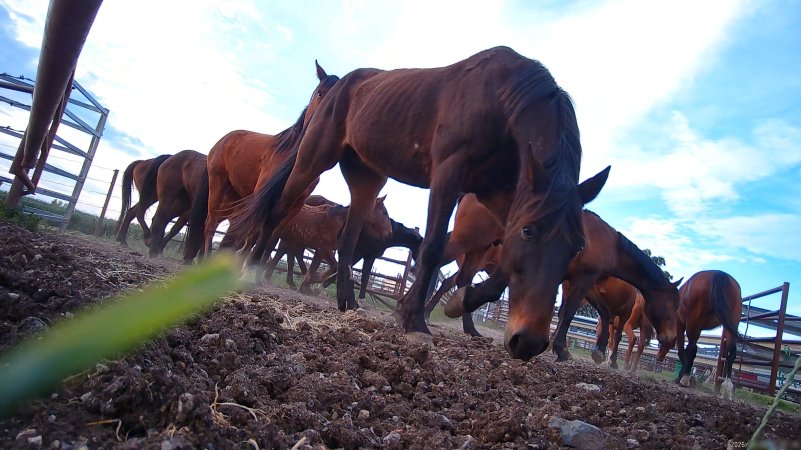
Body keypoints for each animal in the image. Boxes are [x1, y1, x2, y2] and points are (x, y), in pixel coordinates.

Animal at [185, 62, 339, 259]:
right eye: (320, 93)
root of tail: (223, 141)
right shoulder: (263, 197)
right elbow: (252, 235)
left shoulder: (293, 208)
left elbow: (268, 239)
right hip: (218, 185)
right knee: (211, 223)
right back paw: (204, 258)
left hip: (237, 194)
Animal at [228, 46, 611, 360]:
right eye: (531, 232)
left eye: (578, 247)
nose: (528, 341)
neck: (504, 102)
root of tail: (341, 85)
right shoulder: (448, 177)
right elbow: (433, 246)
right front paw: (412, 318)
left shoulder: (503, 198)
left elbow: (501, 266)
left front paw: (459, 302)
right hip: (313, 160)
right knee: (279, 211)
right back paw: (252, 271)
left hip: (368, 179)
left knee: (348, 237)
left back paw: (346, 300)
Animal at [446, 210, 680, 361]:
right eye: (673, 306)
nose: (671, 337)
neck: (609, 243)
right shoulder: (584, 279)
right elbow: (568, 313)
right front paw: (561, 350)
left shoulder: (581, 281)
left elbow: (600, 312)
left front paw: (597, 350)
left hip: (478, 248)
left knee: (463, 280)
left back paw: (470, 328)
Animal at [657, 270, 742, 400]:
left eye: (661, 341)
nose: (659, 357)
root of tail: (719, 274)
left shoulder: (681, 326)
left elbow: (683, 351)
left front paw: (680, 377)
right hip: (730, 326)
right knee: (731, 353)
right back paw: (727, 389)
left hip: (693, 325)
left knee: (691, 349)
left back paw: (685, 379)